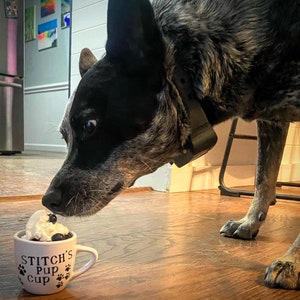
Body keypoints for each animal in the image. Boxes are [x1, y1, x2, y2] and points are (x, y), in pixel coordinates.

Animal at [41, 0, 300, 290]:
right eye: (65, 136)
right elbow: (262, 179)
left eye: (89, 125)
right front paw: (250, 223)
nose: (47, 200)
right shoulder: (271, 120)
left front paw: (292, 262)